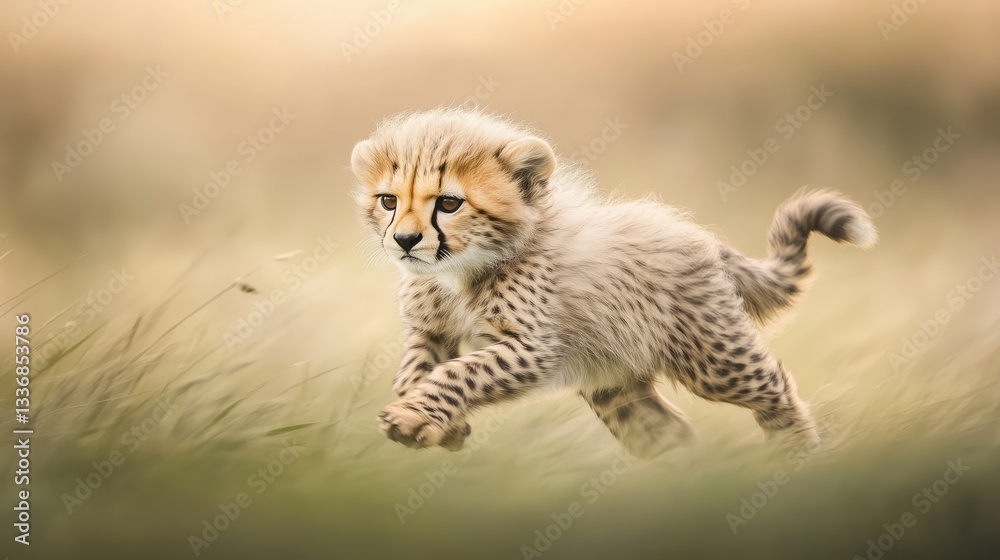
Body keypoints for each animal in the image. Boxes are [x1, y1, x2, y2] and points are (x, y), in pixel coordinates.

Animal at [350, 107, 877, 458]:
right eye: (389, 200)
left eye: (449, 203)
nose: (405, 241)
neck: (459, 271)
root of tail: (695, 234)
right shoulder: (430, 330)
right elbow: (415, 370)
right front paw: (435, 421)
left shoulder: (532, 346)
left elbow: (458, 373)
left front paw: (414, 415)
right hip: (614, 384)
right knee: (666, 433)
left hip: (711, 356)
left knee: (775, 385)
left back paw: (797, 455)